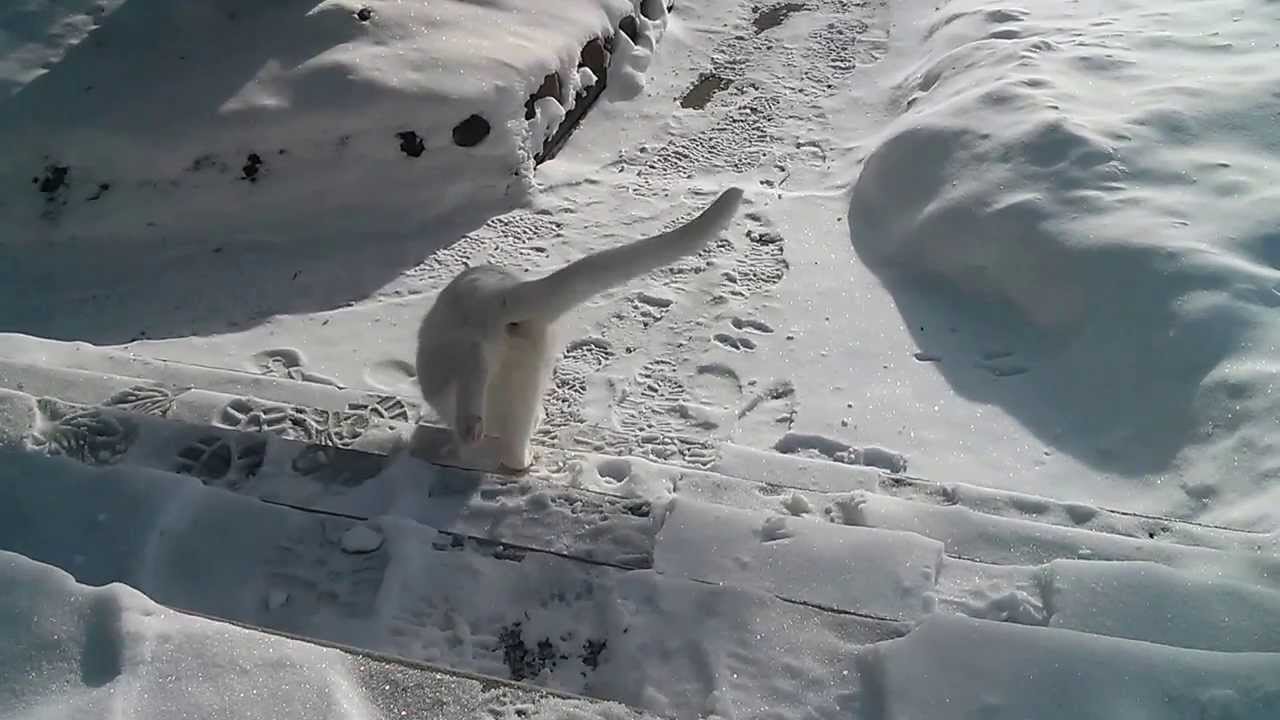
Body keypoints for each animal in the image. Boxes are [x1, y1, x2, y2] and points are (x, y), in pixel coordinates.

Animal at [414, 184, 747, 468]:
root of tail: (500, 295)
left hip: (469, 361)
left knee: (473, 404)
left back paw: (468, 444)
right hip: (523, 377)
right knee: (510, 437)